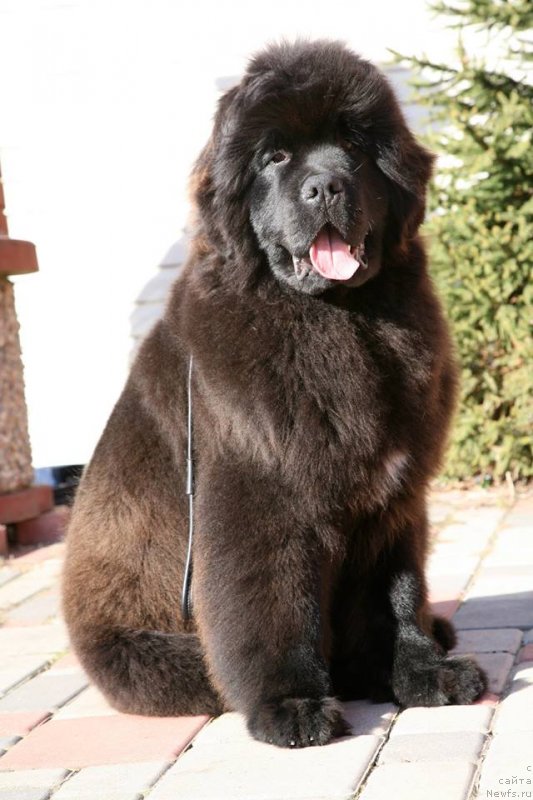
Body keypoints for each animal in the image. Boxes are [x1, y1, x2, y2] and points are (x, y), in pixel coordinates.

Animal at [63, 40, 486, 748]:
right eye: (275, 158)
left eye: (355, 145)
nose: (326, 186)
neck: (337, 318)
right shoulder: (260, 497)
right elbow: (272, 606)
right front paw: (290, 705)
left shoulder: (392, 501)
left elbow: (396, 593)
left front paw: (423, 672)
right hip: (150, 652)